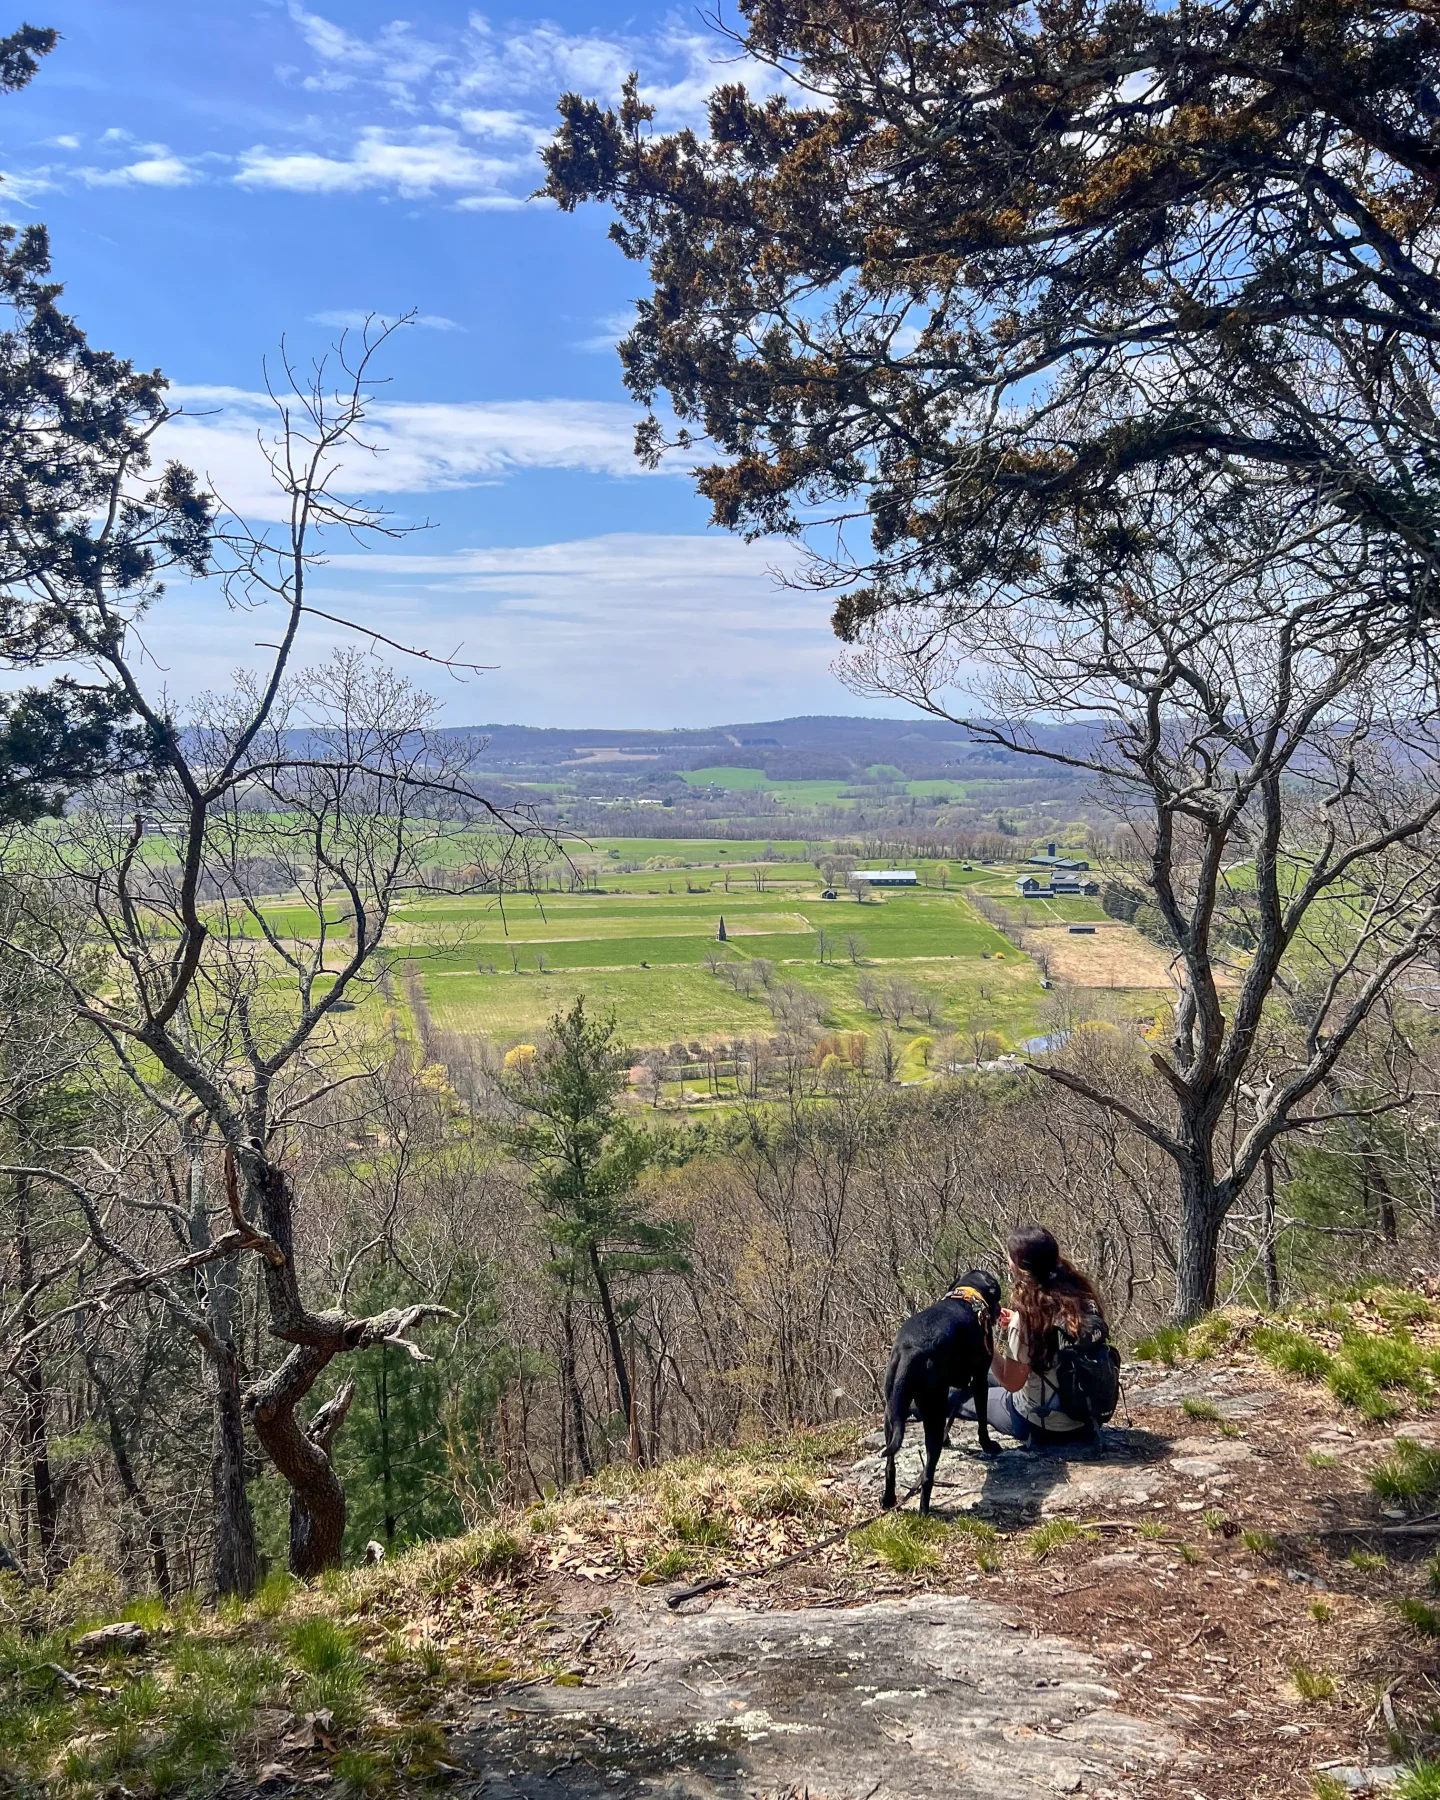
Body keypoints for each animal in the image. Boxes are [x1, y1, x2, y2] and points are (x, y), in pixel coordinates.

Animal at [878, 1274, 1000, 1512]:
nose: (1000, 1309)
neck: (968, 1295)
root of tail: (911, 1351)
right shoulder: (979, 1379)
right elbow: (981, 1418)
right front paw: (988, 1444)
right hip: (932, 1410)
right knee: (927, 1473)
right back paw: (925, 1511)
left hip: (892, 1412)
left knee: (890, 1465)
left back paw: (888, 1499)